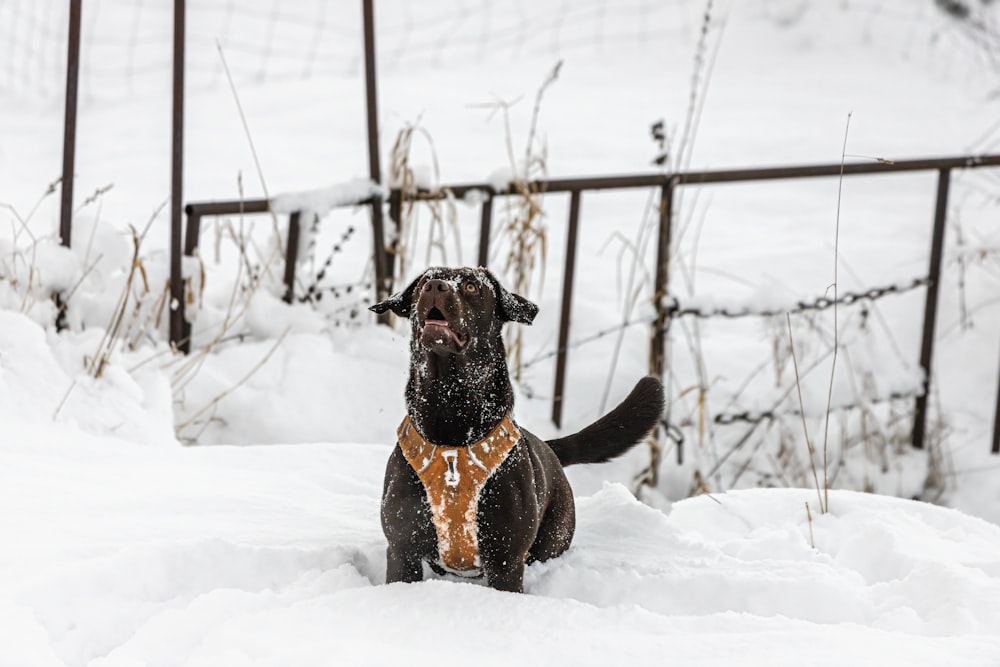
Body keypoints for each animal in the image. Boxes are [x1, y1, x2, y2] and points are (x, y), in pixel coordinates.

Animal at [368, 268, 664, 596]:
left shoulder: (505, 559)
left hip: (552, 537)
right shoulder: (402, 549)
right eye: (423, 282)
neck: (451, 427)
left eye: (471, 285)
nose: (435, 286)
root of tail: (547, 447)